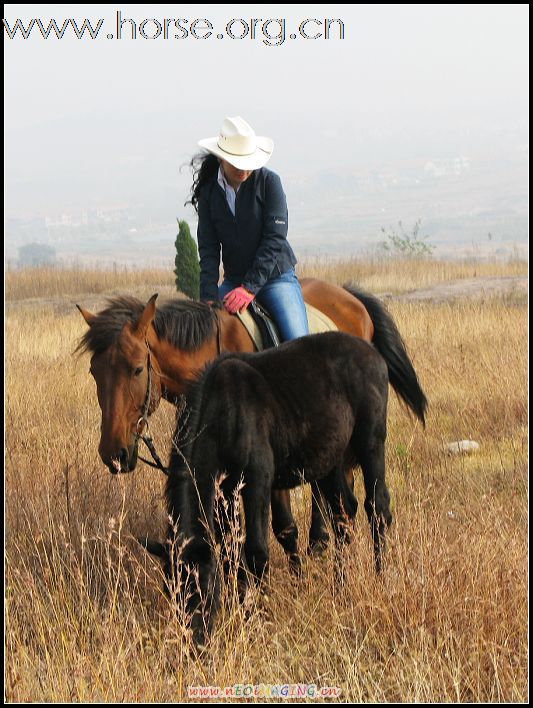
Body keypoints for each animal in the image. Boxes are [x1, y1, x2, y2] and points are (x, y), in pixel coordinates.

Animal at [76, 276, 428, 568]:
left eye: (137, 368)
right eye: (94, 371)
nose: (114, 453)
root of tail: (351, 296)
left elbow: (283, 528)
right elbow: (225, 537)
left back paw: (324, 548)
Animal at [164, 332, 392, 648]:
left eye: (202, 588)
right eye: (173, 591)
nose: (195, 642)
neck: (224, 412)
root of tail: (374, 354)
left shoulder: (258, 481)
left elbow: (256, 552)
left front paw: (259, 614)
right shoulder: (224, 493)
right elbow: (231, 554)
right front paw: (240, 606)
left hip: (370, 443)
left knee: (377, 508)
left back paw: (381, 579)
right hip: (331, 461)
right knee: (344, 513)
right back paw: (340, 588)